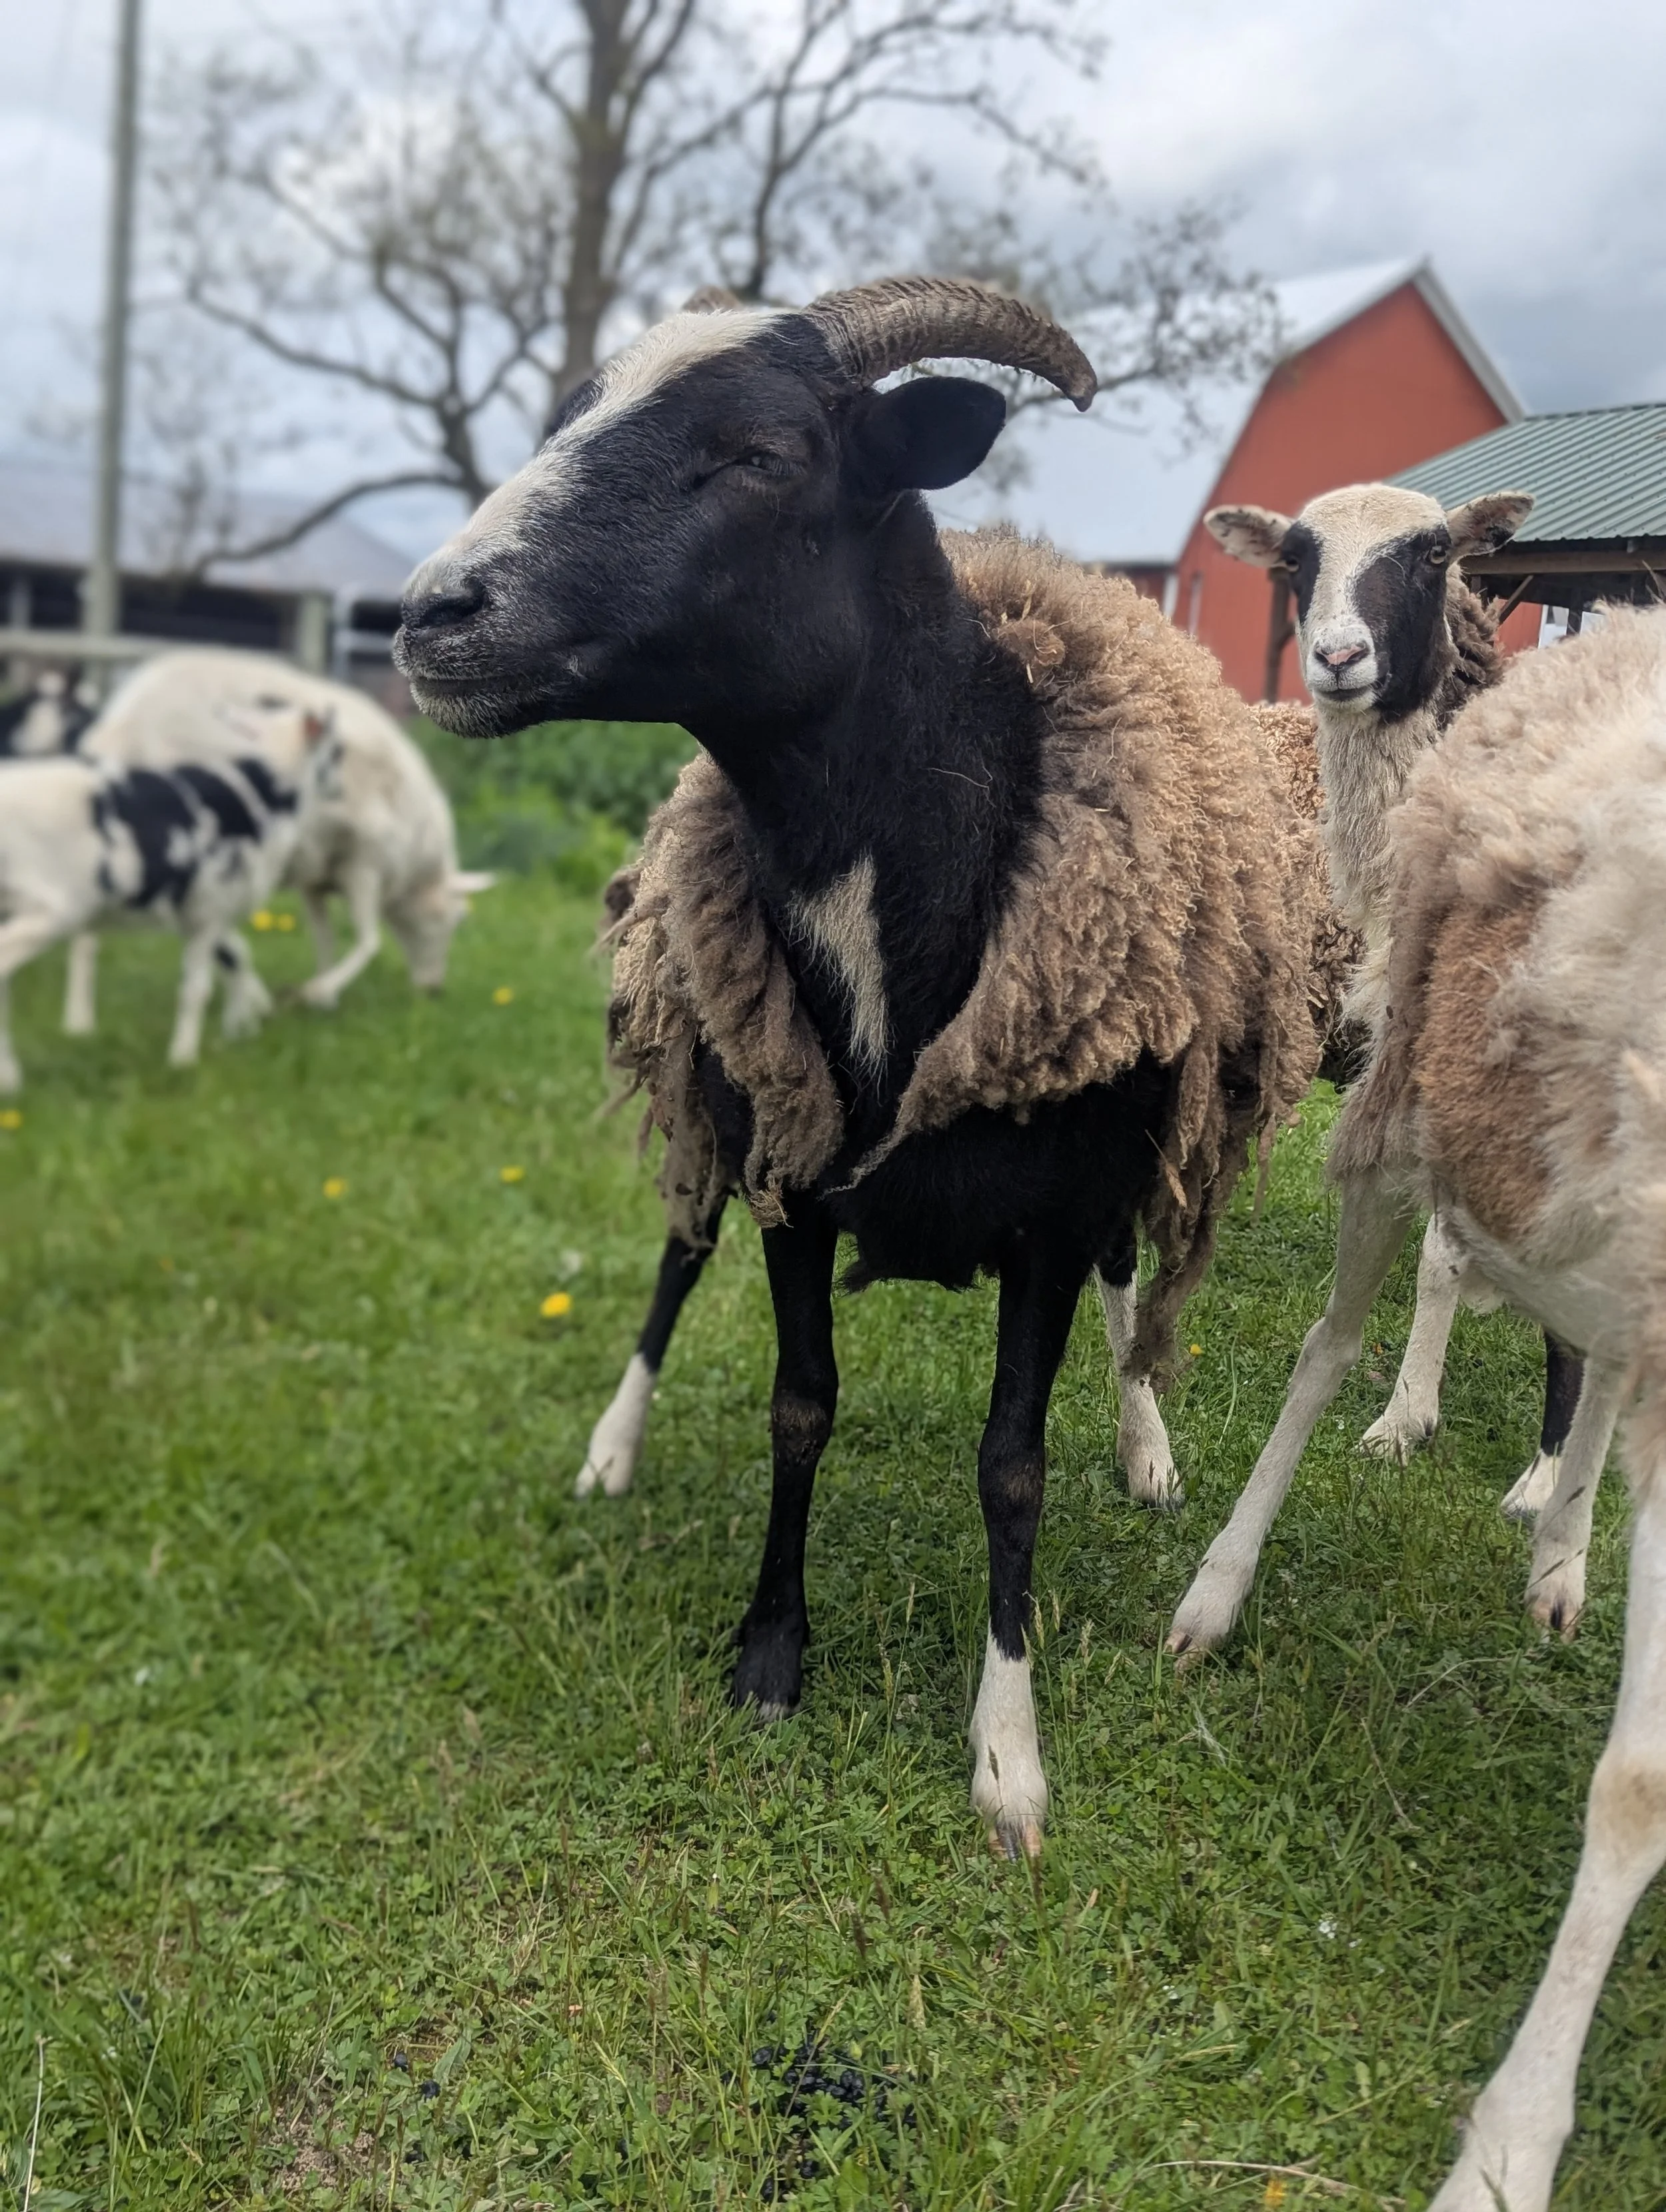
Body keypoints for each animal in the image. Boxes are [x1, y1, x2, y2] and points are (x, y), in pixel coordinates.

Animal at [395, 276, 1325, 1856]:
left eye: (764, 456)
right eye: (569, 415)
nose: (428, 614)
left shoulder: (1051, 1214)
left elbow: (1011, 1464)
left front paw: (1008, 1751)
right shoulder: (788, 1171)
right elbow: (799, 1407)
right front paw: (770, 1653)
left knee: (1130, 1282)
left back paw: (1144, 1443)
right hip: (718, 1105)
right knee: (674, 1258)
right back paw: (612, 1446)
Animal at [1168, 605, 1666, 2210]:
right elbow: (1641, 1785)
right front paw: (1512, 2143)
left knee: (1594, 1373)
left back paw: (1559, 1547)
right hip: (1403, 1108)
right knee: (1326, 1346)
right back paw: (1215, 1592)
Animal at [1204, 486, 1583, 1526]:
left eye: (1432, 553)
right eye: (1295, 559)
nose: (1339, 657)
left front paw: (1538, 1474)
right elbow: (1440, 1254)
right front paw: (1408, 1416)